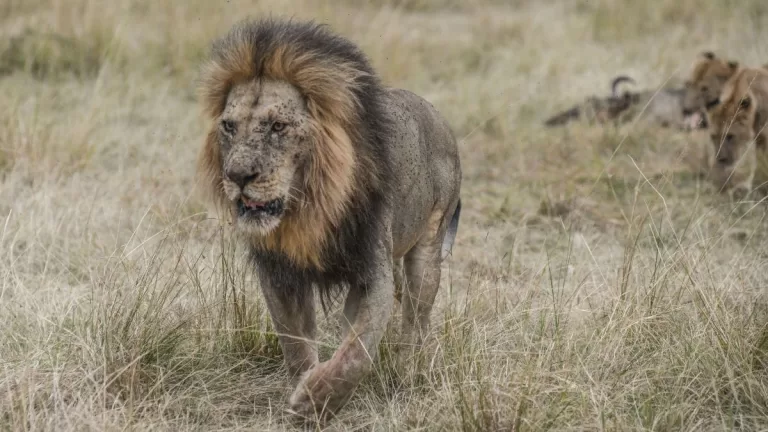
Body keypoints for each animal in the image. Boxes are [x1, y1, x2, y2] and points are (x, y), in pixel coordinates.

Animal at [197, 19, 462, 420]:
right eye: (228, 126)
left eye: (278, 126)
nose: (238, 176)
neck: (306, 209)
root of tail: (437, 115)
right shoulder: (281, 275)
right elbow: (296, 345)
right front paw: (305, 386)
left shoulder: (371, 272)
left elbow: (357, 352)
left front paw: (315, 401)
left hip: (428, 249)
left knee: (416, 320)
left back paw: (407, 372)